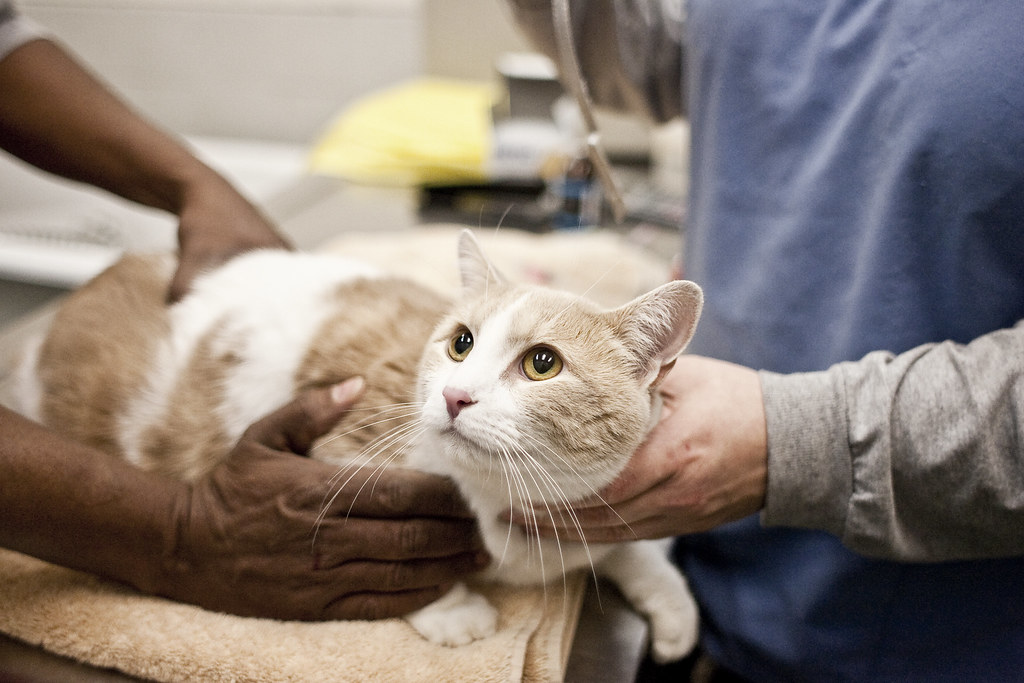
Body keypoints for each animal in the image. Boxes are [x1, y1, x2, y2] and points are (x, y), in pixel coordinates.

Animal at [16, 228, 704, 663]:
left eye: (543, 363)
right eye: (461, 343)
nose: (455, 396)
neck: (506, 506)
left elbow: (631, 550)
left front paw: (674, 609)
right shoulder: (345, 459)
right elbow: (410, 570)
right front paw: (452, 610)